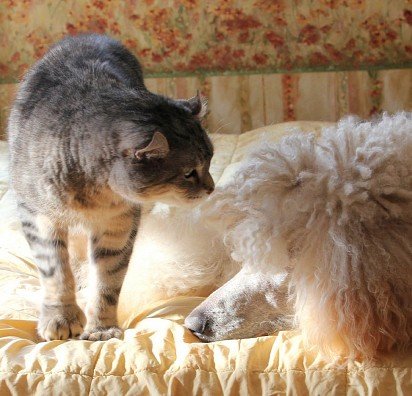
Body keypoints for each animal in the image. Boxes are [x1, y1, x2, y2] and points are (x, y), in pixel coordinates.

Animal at [8, 34, 214, 342]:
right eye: (189, 173)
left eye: (210, 159)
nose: (211, 187)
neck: (95, 196)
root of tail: (87, 35)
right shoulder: (39, 216)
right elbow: (56, 271)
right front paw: (60, 318)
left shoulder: (119, 225)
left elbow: (108, 280)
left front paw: (101, 328)